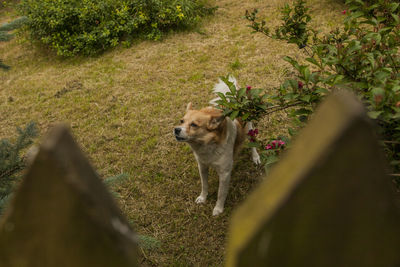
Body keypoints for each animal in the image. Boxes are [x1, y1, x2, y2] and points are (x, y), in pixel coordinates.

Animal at [173, 76, 260, 217]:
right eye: (181, 121)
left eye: (194, 125)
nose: (176, 129)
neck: (207, 146)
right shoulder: (202, 166)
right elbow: (204, 185)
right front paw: (203, 198)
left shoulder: (224, 174)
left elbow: (221, 194)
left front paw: (218, 209)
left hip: (249, 128)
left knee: (253, 143)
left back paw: (255, 157)